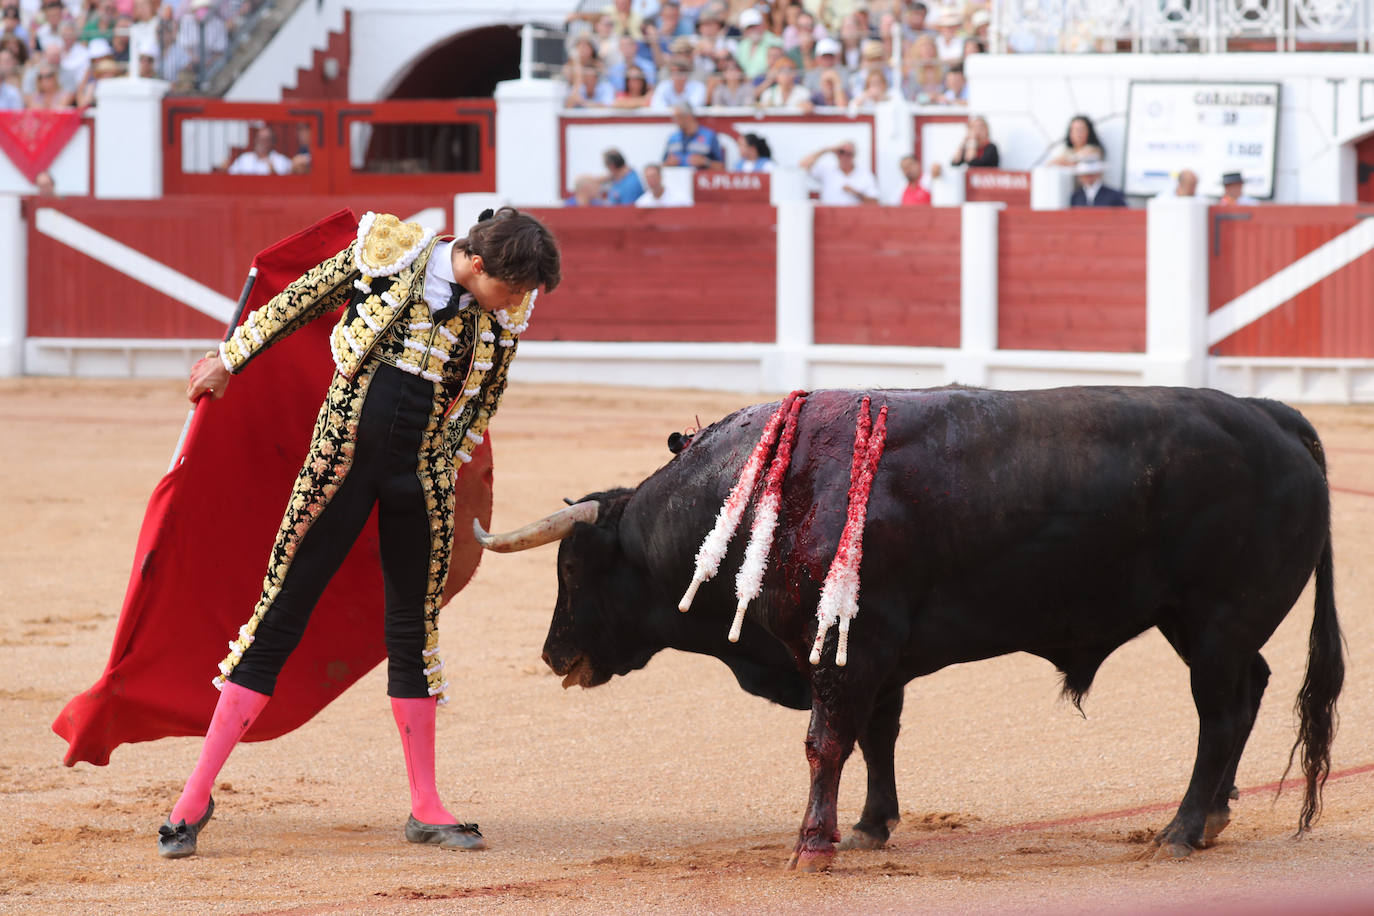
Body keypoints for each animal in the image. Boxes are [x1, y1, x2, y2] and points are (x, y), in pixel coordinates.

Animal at [475, 384, 1341, 873]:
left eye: (576, 568)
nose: (554, 653)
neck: (766, 496)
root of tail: (1273, 417)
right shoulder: (872, 655)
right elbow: (875, 738)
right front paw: (868, 827)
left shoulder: (847, 651)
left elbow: (827, 741)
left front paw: (812, 844)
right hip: (1207, 628)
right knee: (1249, 693)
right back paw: (1217, 814)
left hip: (1215, 621)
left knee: (1219, 712)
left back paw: (1182, 829)